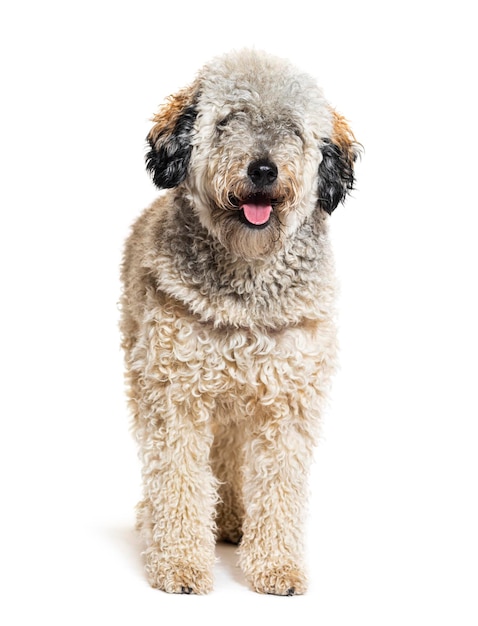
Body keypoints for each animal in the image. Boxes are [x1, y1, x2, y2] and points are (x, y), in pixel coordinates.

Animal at [119, 50, 358, 596]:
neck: (247, 283)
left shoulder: (289, 401)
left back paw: (231, 521)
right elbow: (177, 478)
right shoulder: (175, 395)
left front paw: (277, 567)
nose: (263, 169)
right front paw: (179, 563)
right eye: (228, 121)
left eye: (293, 129)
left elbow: (279, 487)